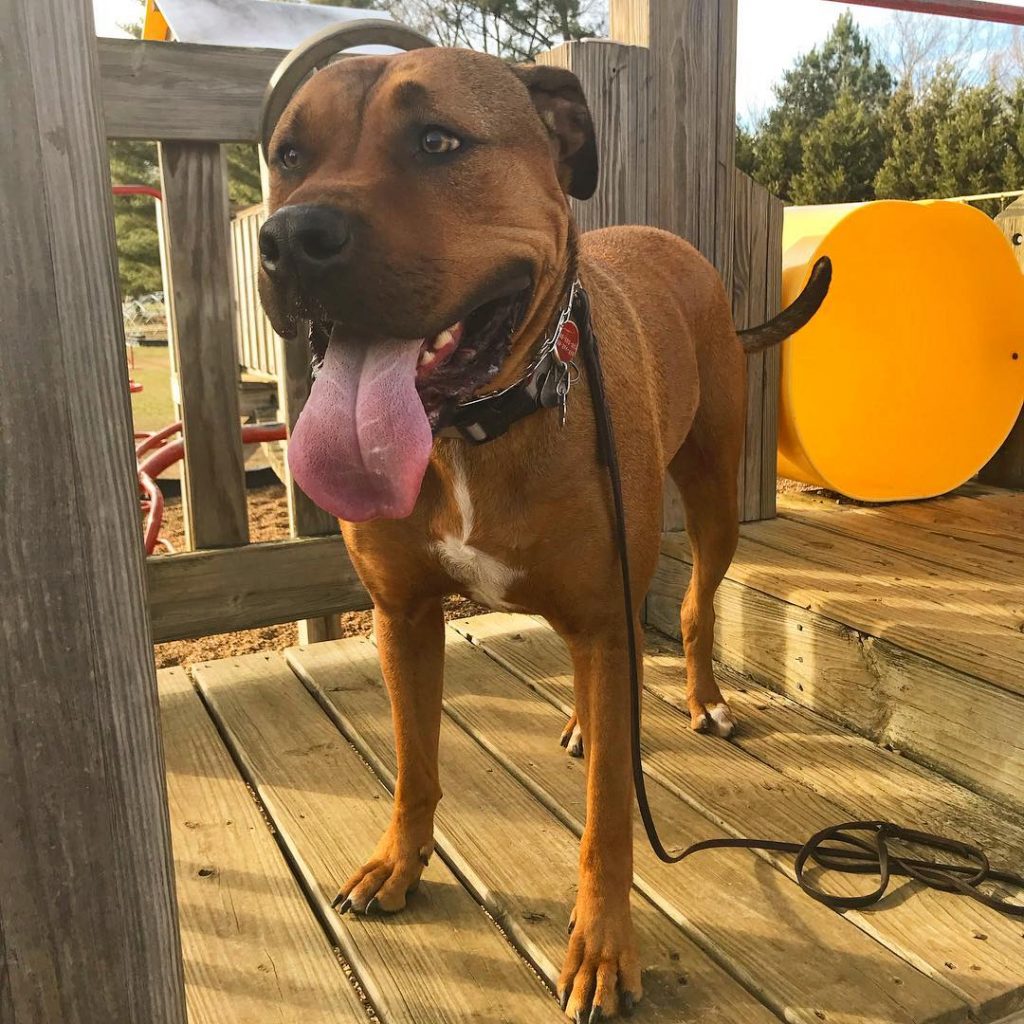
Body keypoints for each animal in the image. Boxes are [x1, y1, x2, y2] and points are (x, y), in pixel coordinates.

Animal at [260, 46, 827, 1015]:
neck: (475, 426)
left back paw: (702, 697)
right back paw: (583, 721)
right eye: (289, 155)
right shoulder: (404, 616)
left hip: (711, 498)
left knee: (696, 607)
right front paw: (399, 861)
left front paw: (602, 947)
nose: (292, 237)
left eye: (439, 141)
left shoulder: (605, 611)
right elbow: (414, 762)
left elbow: (608, 822)